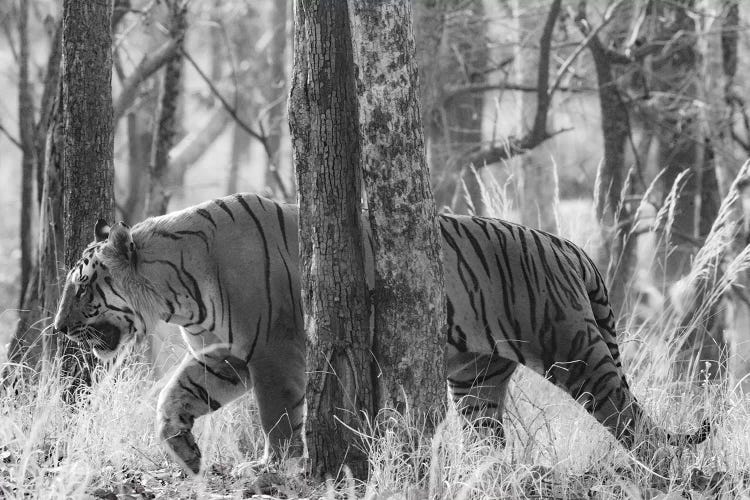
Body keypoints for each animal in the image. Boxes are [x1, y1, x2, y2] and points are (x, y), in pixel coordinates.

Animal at [53, 192, 712, 476]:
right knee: (491, 439)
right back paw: (483, 477)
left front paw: (273, 468)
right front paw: (185, 452)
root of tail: (569, 245)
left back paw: (672, 475)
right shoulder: (230, 355)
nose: (57, 328)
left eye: (82, 289)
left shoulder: (271, 354)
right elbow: (176, 393)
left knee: (630, 419)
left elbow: (276, 417)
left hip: (573, 351)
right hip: (476, 381)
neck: (179, 291)